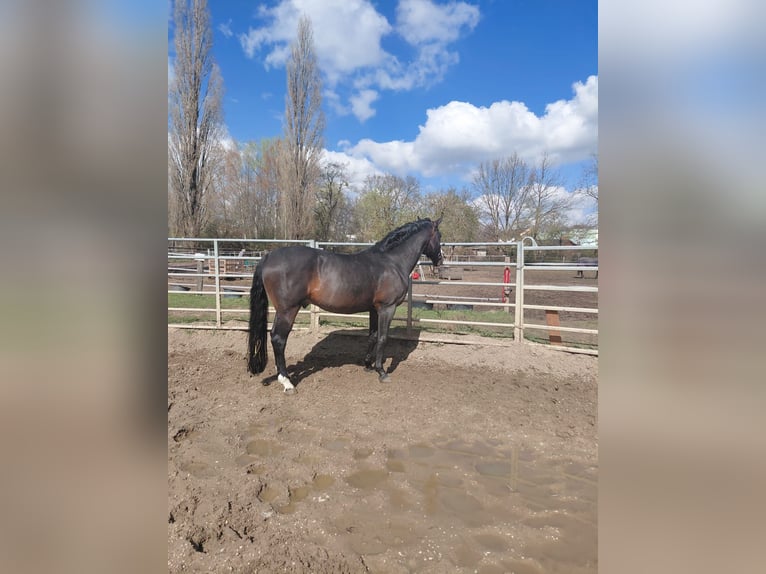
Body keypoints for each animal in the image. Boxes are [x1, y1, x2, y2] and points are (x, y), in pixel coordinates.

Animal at [247, 218, 443, 393]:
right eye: (439, 236)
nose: (440, 261)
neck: (392, 261)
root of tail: (268, 257)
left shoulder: (374, 309)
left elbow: (372, 336)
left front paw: (368, 365)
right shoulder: (387, 308)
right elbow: (383, 338)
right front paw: (381, 371)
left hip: (282, 311)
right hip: (288, 310)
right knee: (278, 339)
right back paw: (287, 382)